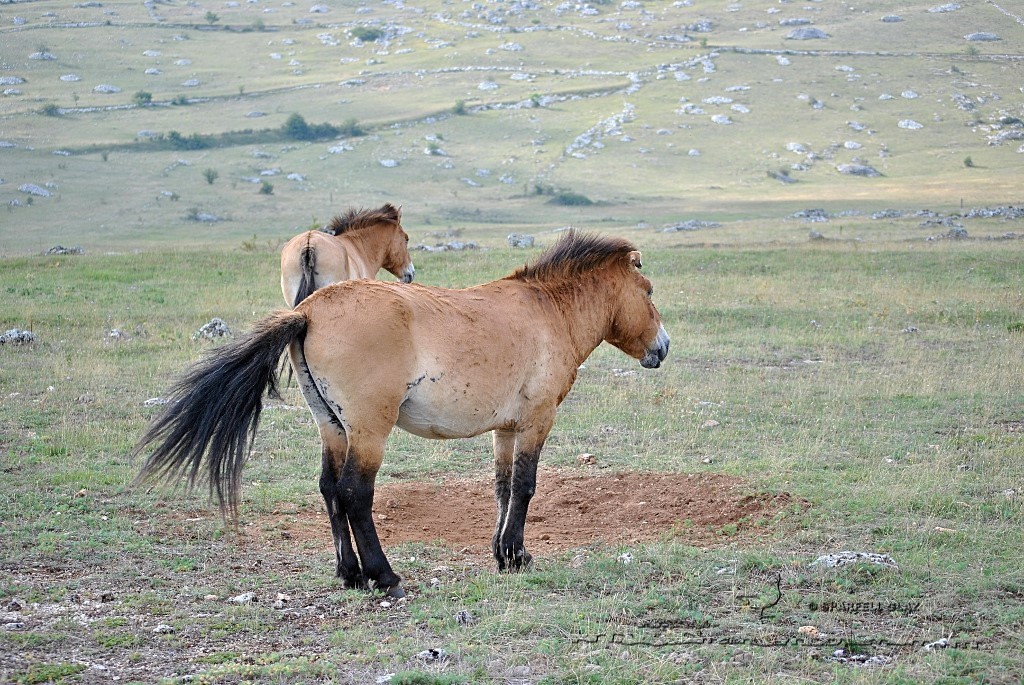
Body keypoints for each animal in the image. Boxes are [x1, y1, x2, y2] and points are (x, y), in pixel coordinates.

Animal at [134, 230, 670, 598]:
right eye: (647, 290)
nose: (663, 347)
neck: (546, 311)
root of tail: (307, 312)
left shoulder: (505, 429)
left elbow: (501, 488)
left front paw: (501, 554)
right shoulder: (537, 421)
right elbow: (524, 487)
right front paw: (518, 556)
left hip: (332, 427)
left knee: (329, 490)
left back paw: (350, 574)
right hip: (369, 431)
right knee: (354, 494)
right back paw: (384, 575)